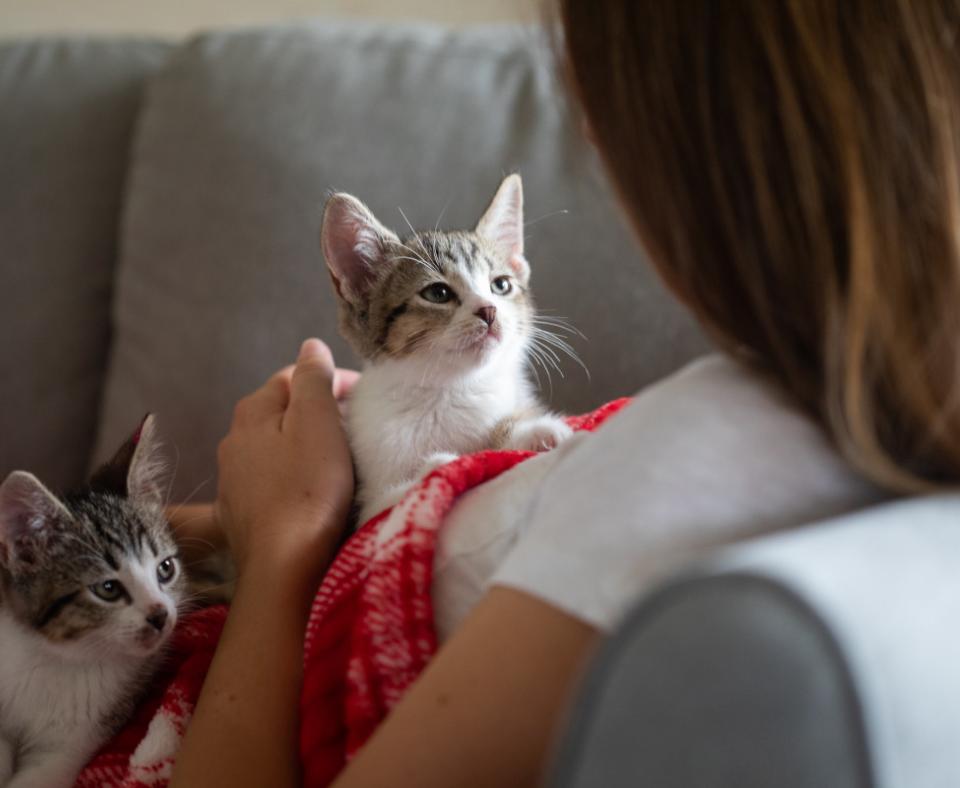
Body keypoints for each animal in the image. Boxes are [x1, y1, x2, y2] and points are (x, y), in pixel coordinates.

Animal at [322, 175, 576, 528]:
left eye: (501, 285)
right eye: (438, 293)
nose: (489, 310)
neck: (450, 389)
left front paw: (536, 432)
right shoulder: (361, 510)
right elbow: (385, 504)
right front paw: (437, 467)